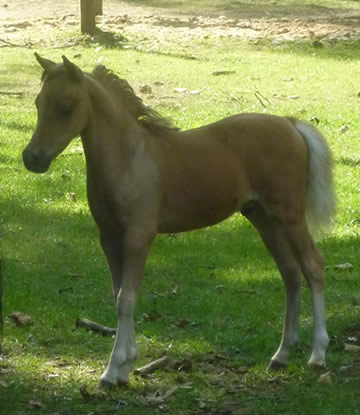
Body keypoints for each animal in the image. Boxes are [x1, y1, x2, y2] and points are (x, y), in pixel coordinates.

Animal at [22, 53, 336, 388]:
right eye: (39, 102)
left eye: (66, 106)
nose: (32, 158)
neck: (129, 158)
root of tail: (291, 124)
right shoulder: (109, 237)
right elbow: (118, 296)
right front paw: (123, 369)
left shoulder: (138, 236)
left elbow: (126, 299)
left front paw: (113, 370)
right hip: (263, 219)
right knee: (290, 273)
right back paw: (281, 356)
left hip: (289, 216)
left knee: (313, 266)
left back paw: (317, 355)